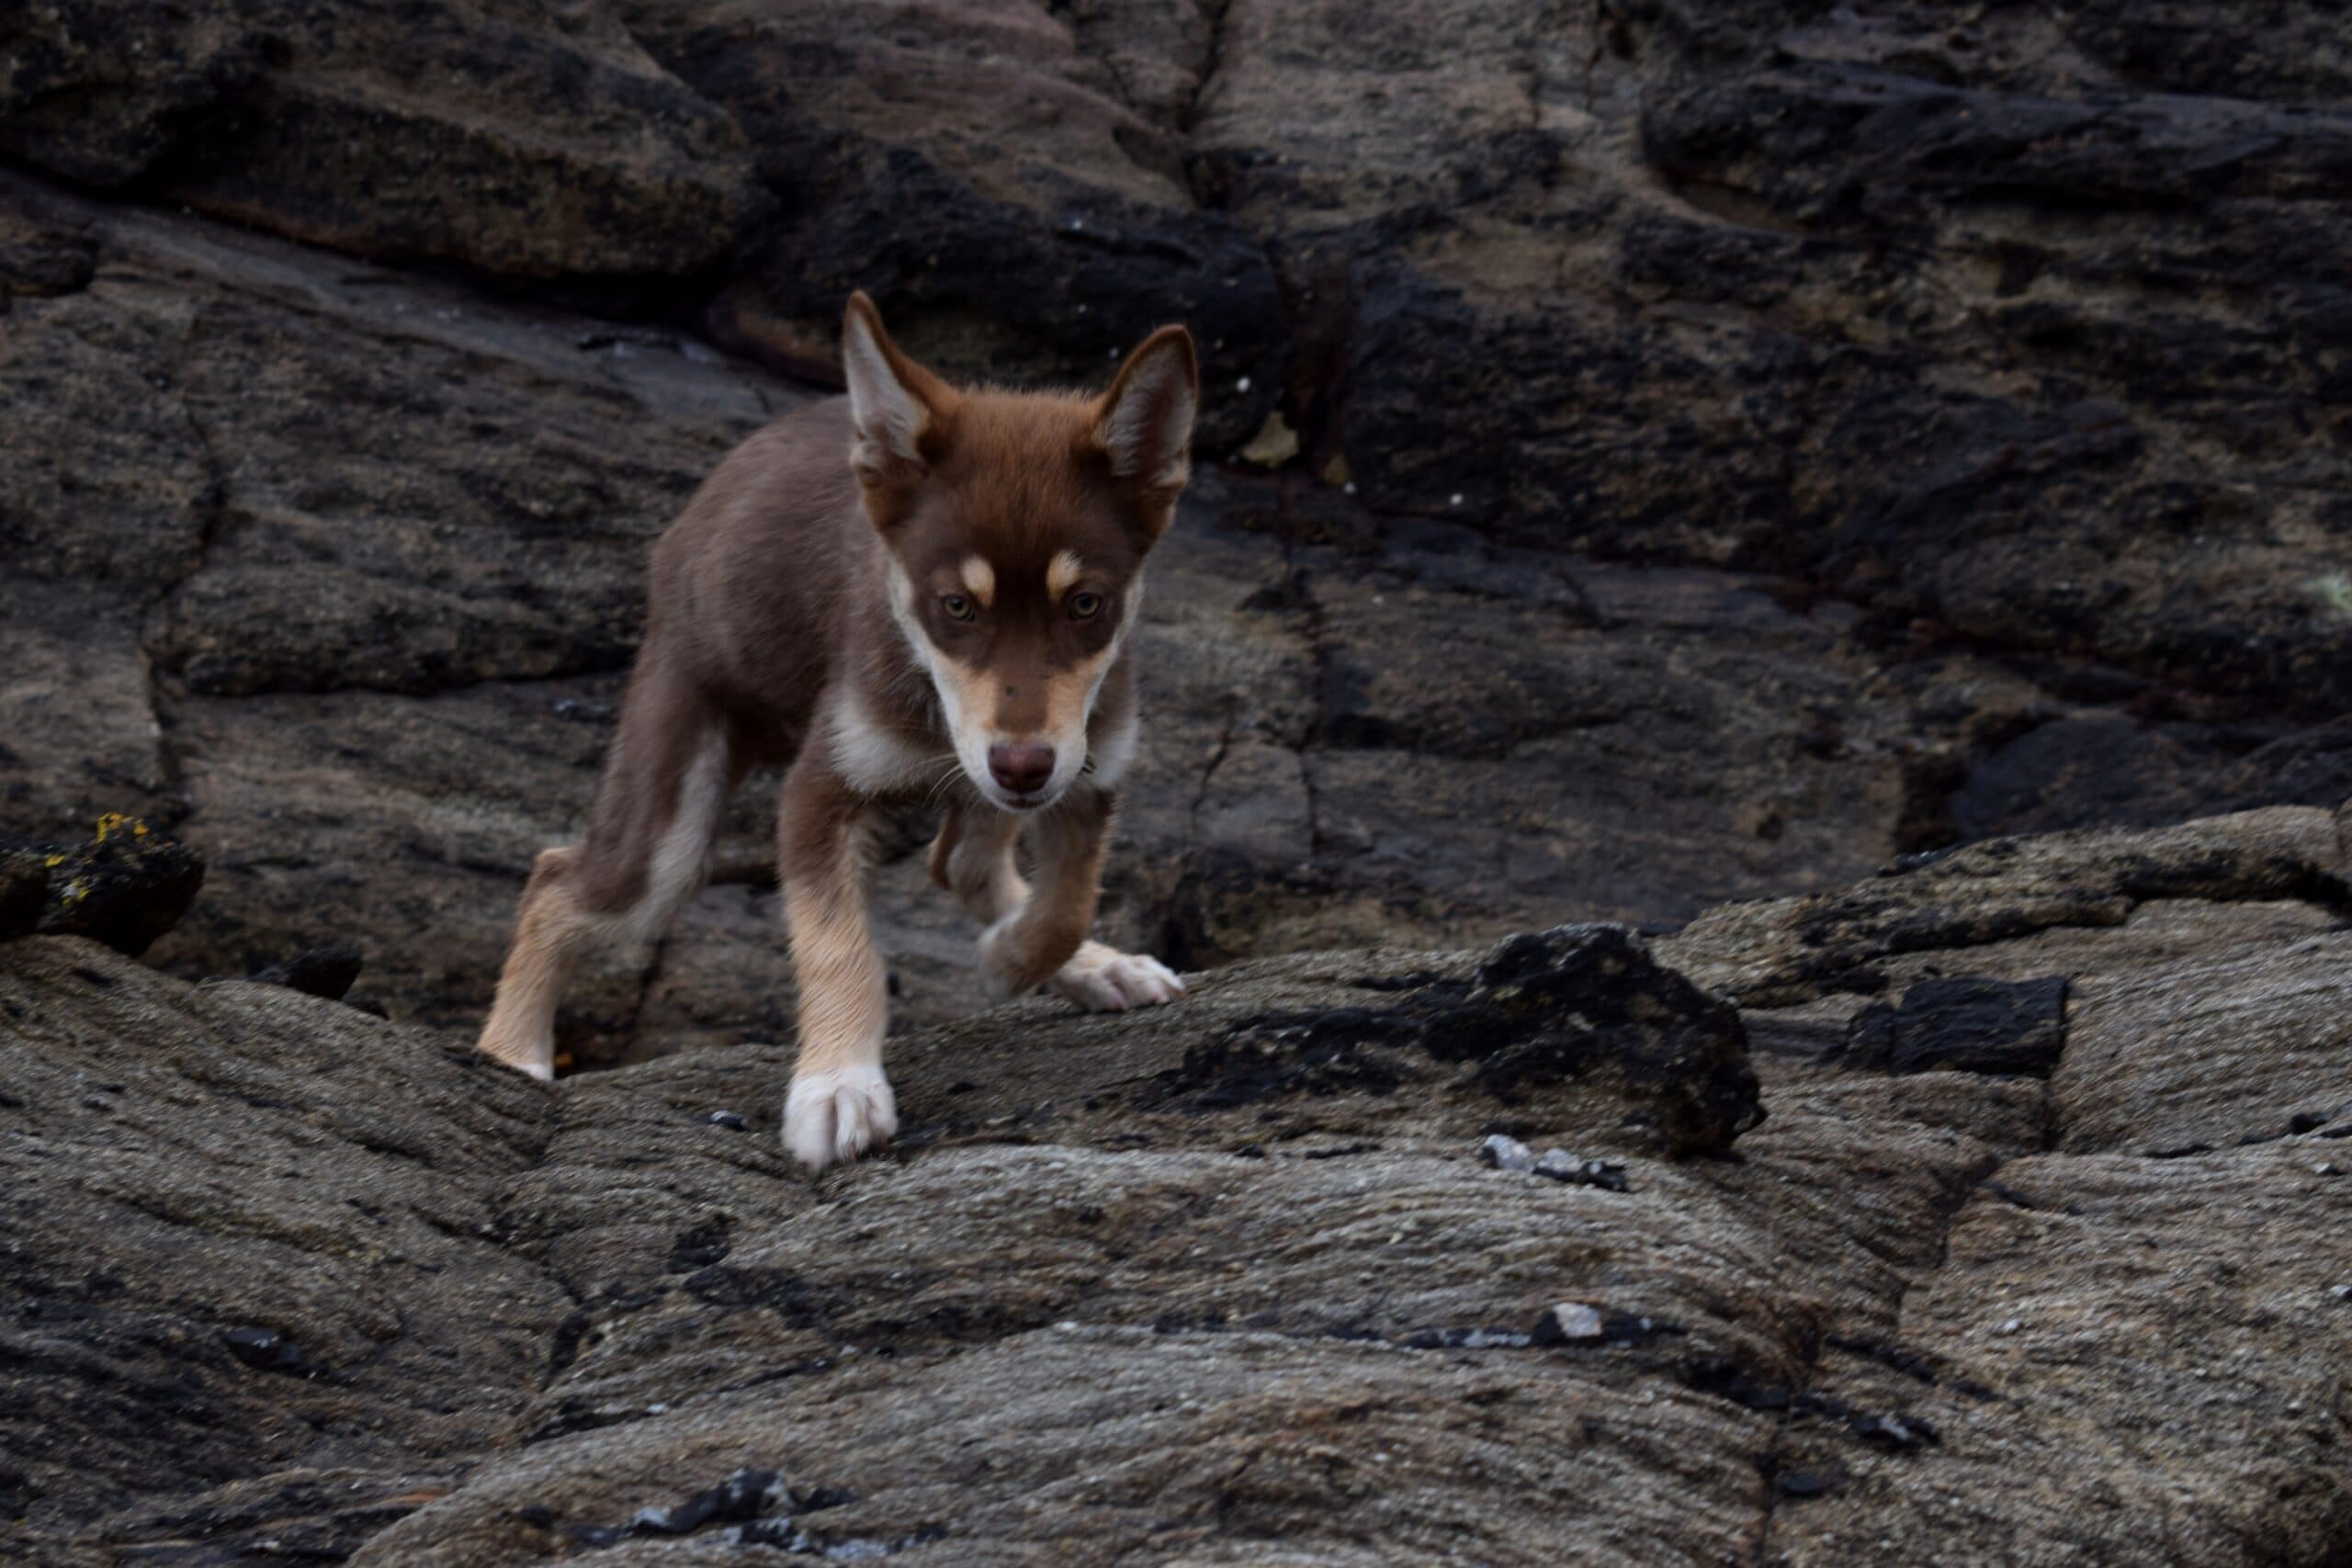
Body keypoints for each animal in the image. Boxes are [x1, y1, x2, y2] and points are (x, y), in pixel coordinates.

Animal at [477, 297, 1194, 1175]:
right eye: (956, 606)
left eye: (1086, 604)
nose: (1020, 764)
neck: (928, 697)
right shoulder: (822, 791)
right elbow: (839, 947)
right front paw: (837, 1084)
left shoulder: (1088, 773)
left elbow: (1065, 905)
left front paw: (1015, 959)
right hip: (669, 816)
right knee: (553, 880)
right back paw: (512, 1052)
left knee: (960, 862)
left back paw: (1095, 965)